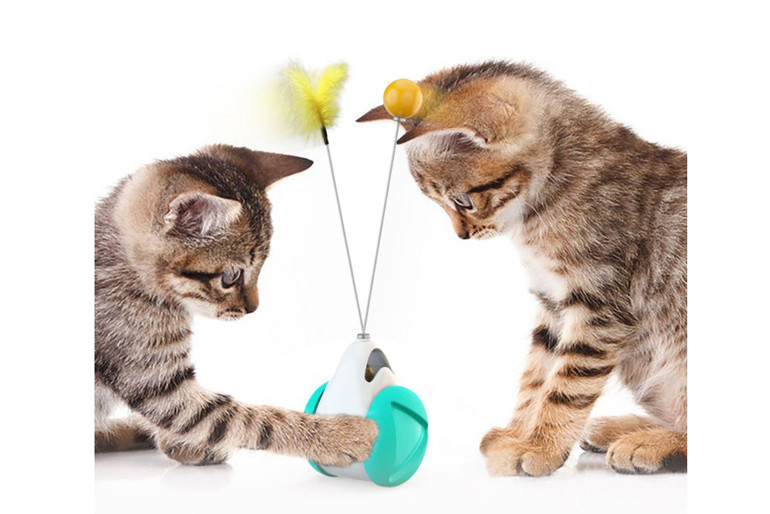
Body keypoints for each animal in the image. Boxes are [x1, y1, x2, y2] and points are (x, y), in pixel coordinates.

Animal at [359, 62, 686, 476]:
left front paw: (541, 447)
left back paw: (649, 443)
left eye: (462, 200)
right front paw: (519, 433)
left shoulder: (599, 305)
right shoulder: (552, 302)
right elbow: (537, 377)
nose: (462, 236)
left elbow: (566, 385)